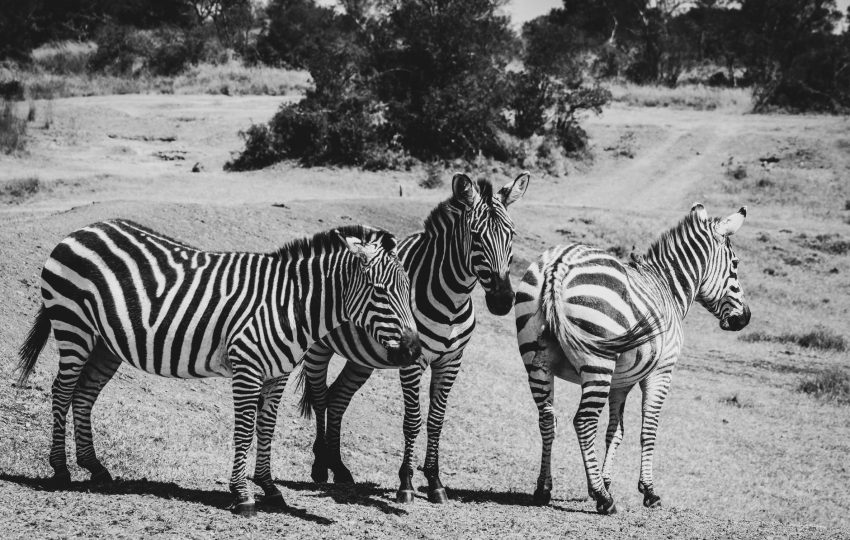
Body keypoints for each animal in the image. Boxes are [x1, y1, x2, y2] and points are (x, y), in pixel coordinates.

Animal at [15, 220, 420, 517]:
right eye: (381, 291)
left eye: (407, 289)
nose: (415, 349)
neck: (290, 304)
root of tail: (81, 230)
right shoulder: (247, 367)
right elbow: (243, 431)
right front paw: (242, 494)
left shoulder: (277, 375)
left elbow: (266, 429)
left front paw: (269, 488)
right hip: (73, 327)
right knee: (62, 391)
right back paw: (60, 470)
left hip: (105, 345)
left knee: (83, 396)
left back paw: (95, 468)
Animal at [294, 171, 530, 504]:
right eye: (475, 236)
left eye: (512, 235)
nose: (502, 301)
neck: (452, 299)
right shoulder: (412, 361)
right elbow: (413, 420)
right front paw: (405, 483)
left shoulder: (451, 361)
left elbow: (436, 420)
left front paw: (434, 481)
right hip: (318, 348)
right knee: (319, 397)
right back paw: (319, 466)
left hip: (361, 358)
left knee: (337, 399)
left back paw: (338, 467)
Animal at [514, 204, 750, 514]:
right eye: (735, 265)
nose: (745, 319)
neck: (667, 288)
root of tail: (559, 265)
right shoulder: (661, 372)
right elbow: (648, 430)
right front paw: (647, 491)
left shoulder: (620, 382)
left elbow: (615, 432)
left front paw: (605, 480)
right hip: (597, 361)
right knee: (584, 421)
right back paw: (604, 500)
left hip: (537, 360)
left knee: (546, 419)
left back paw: (544, 489)